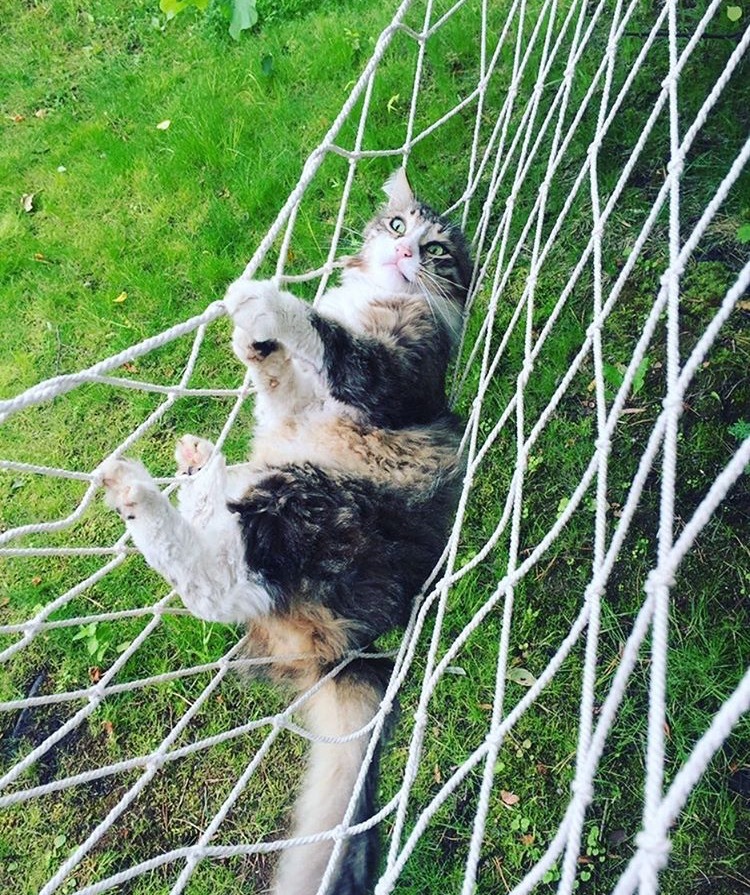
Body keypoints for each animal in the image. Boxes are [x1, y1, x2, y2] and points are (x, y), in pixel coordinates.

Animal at [101, 170, 470, 895]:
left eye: (437, 250)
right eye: (397, 226)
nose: (405, 252)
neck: (378, 295)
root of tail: (347, 648)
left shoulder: (399, 372)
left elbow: (333, 339)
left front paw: (267, 304)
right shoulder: (292, 407)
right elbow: (281, 382)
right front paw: (256, 345)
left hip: (315, 499)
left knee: (218, 585)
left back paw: (146, 495)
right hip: (280, 480)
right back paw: (198, 470)